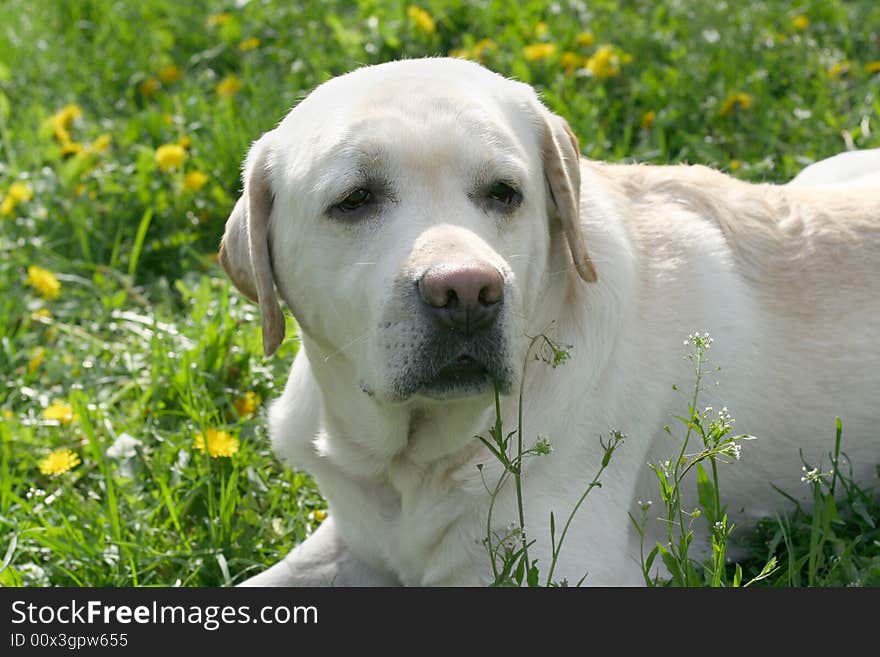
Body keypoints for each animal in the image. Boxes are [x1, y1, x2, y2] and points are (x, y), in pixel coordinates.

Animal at [223, 59, 880, 588]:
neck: (411, 464)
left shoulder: (558, 566)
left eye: (504, 192)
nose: (467, 292)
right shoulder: (351, 540)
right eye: (355, 200)